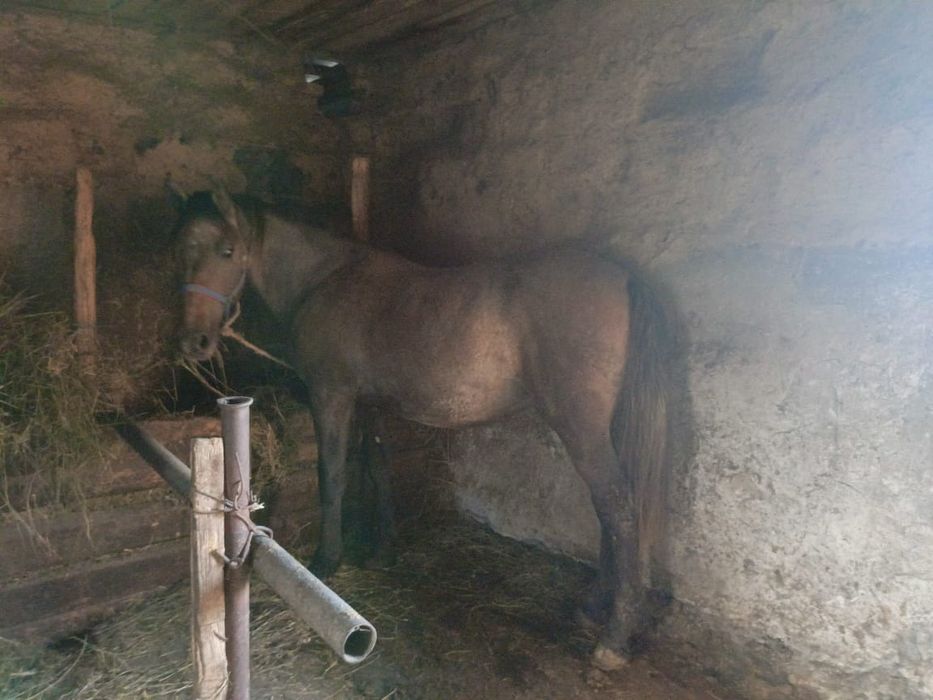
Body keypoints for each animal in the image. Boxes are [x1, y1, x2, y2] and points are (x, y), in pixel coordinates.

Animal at [175, 187, 674, 671]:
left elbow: (332, 476)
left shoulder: (331, 396)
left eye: (226, 250)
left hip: (581, 429)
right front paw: (383, 552)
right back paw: (594, 608)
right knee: (612, 515)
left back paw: (613, 640)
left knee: (619, 510)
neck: (324, 281)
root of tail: (623, 278)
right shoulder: (370, 405)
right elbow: (377, 468)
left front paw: (326, 560)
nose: (193, 343)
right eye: (181, 249)